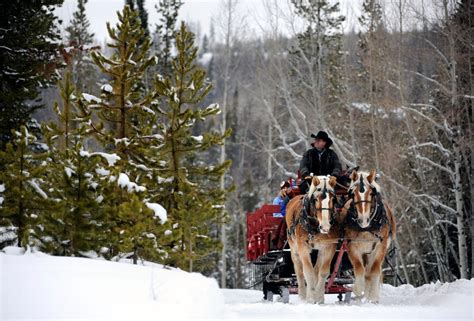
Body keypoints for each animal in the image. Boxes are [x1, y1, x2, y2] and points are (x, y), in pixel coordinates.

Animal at [340, 169, 396, 302]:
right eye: (353, 194)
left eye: (371, 193)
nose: (363, 220)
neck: (366, 228)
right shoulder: (352, 246)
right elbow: (359, 269)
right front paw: (358, 289)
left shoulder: (381, 246)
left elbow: (375, 270)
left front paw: (373, 297)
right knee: (365, 271)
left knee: (372, 271)